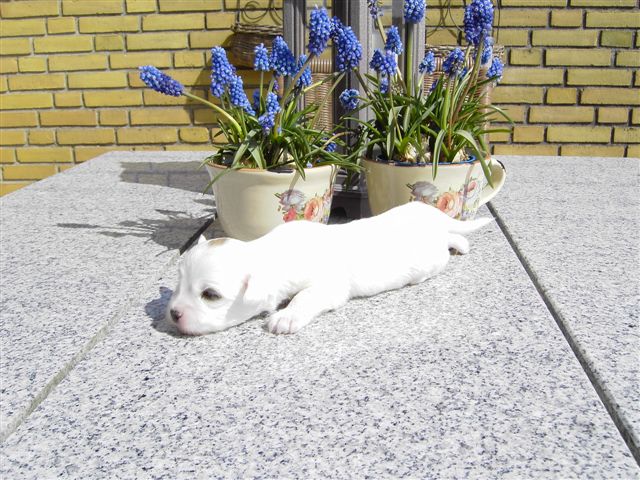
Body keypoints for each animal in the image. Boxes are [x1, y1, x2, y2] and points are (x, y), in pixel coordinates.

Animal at [165, 202, 490, 334]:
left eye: (210, 295)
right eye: (179, 286)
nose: (173, 314)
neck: (275, 251)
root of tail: (430, 214)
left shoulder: (328, 286)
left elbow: (303, 297)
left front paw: (286, 318)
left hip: (431, 259)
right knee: (452, 236)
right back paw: (462, 244)